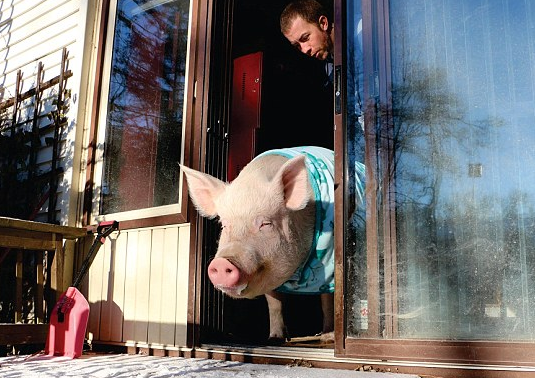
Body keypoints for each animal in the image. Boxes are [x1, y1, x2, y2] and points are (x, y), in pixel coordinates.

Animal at [182, 146, 338, 342]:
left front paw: (329, 338)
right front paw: (274, 339)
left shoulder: (329, 264)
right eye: (224, 225)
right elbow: (274, 303)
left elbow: (328, 301)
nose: (222, 262)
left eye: (265, 224)